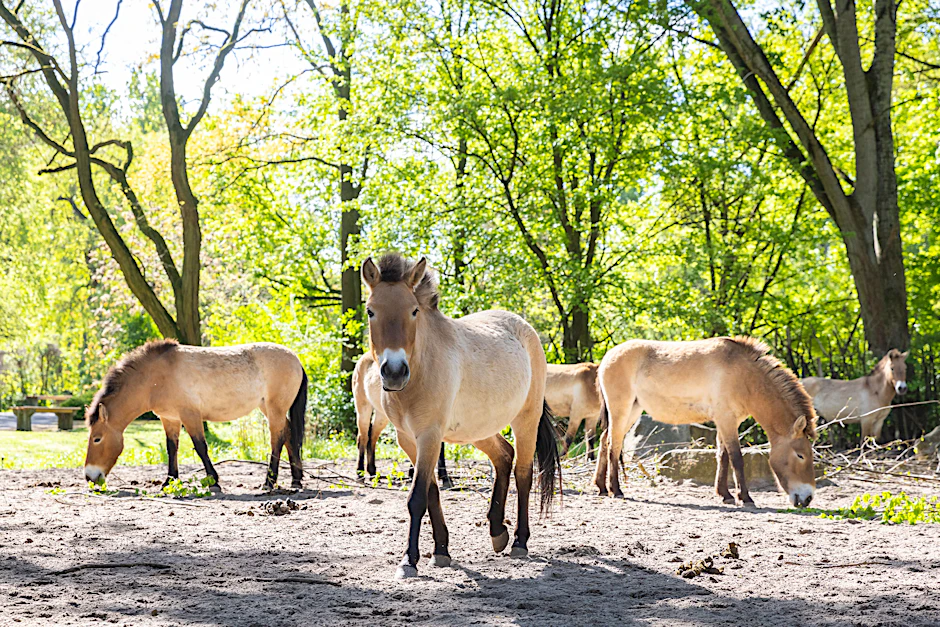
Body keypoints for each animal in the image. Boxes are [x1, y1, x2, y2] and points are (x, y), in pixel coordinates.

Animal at [84, 340, 308, 492]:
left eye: (97, 439)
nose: (89, 476)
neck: (155, 377)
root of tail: (296, 359)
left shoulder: (189, 415)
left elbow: (200, 447)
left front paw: (214, 482)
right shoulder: (170, 418)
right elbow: (171, 448)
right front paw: (169, 481)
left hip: (275, 408)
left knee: (277, 439)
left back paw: (269, 482)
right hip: (269, 408)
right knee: (288, 433)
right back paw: (296, 479)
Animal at [354, 352, 452, 488]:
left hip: (382, 415)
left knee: (372, 436)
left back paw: (373, 474)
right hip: (363, 407)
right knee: (362, 438)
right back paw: (360, 475)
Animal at [593, 336, 817, 508]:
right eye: (800, 455)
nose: (807, 498)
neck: (744, 375)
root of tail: (607, 357)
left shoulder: (726, 421)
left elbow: (723, 456)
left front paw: (725, 495)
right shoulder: (726, 419)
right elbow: (736, 458)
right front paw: (745, 498)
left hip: (631, 410)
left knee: (605, 440)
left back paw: (601, 487)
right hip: (621, 410)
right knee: (614, 444)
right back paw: (616, 490)